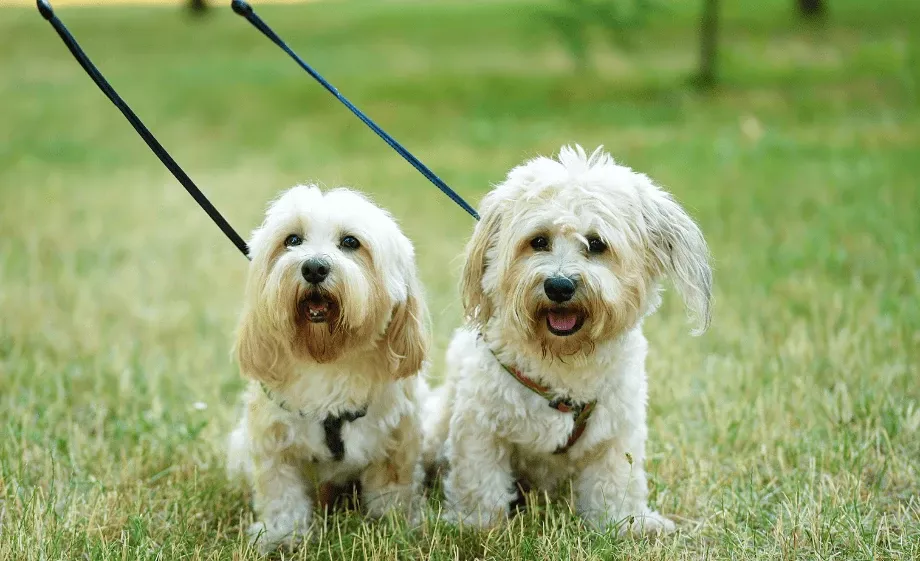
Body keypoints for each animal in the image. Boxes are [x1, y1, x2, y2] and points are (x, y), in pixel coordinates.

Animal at [230, 185, 432, 552]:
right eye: (292, 240)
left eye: (350, 242)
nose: (313, 268)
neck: (328, 359)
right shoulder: (273, 443)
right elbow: (281, 492)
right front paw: (282, 534)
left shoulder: (397, 440)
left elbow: (394, 488)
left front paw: (398, 526)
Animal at [422, 144, 712, 532]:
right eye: (538, 241)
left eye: (597, 244)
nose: (559, 286)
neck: (562, 359)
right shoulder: (480, 425)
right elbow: (480, 480)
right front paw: (477, 525)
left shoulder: (617, 430)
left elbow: (615, 480)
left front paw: (626, 523)